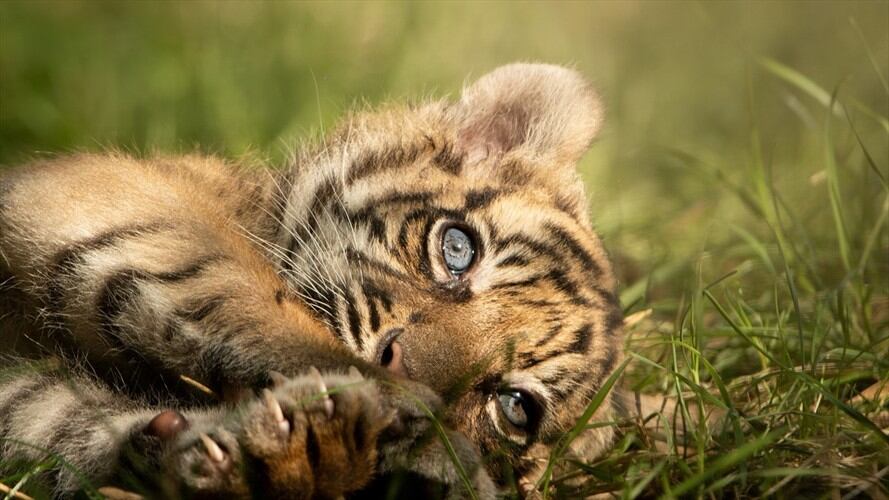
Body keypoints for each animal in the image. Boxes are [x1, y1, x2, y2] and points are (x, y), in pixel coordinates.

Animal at [0, 63, 623, 499]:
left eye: (515, 407)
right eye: (457, 249)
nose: (401, 363)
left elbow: (59, 423)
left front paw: (286, 460)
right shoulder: (113, 201)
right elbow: (240, 298)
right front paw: (424, 436)